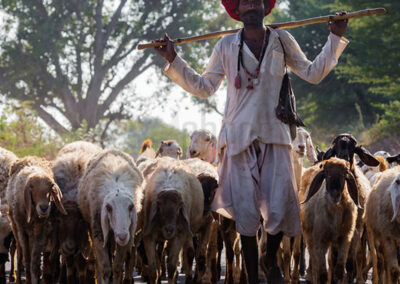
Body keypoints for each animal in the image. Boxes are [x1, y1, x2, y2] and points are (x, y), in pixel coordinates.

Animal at [77, 149, 145, 284]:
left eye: (131, 207)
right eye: (108, 208)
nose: (122, 236)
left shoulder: (127, 235)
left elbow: (117, 267)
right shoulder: (98, 232)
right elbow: (105, 267)